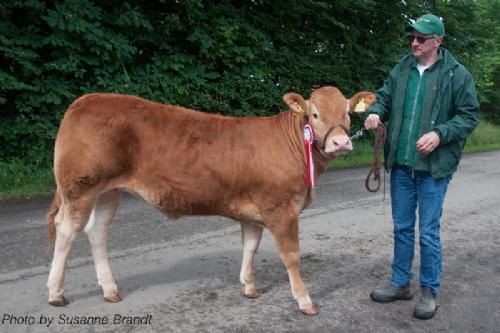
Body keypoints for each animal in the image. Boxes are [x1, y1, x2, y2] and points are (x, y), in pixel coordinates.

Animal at [47, 86, 376, 314]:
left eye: (348, 113)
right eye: (315, 114)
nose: (341, 142)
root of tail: (85, 100)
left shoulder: (253, 209)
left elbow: (250, 246)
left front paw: (249, 287)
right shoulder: (280, 208)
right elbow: (292, 255)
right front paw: (305, 300)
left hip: (109, 191)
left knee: (96, 231)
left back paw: (109, 289)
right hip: (80, 188)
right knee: (67, 231)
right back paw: (55, 293)